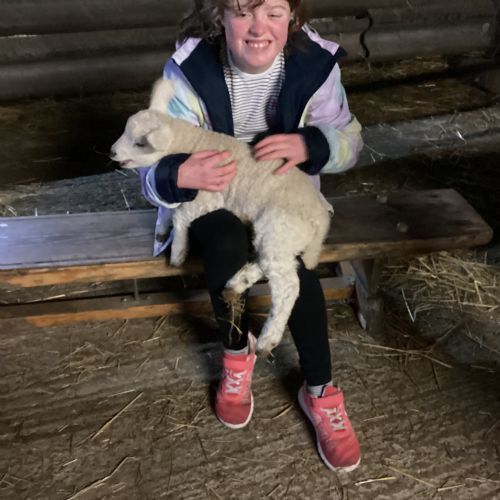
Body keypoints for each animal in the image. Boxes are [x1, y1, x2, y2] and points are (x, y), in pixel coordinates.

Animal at [111, 79, 332, 354]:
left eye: (140, 144)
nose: (112, 153)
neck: (190, 144)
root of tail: (320, 220)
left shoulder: (208, 195)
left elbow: (181, 216)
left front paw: (178, 251)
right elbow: (170, 206)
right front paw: (162, 230)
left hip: (281, 229)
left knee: (288, 285)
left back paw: (267, 339)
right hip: (278, 237)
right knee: (269, 262)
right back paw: (236, 284)